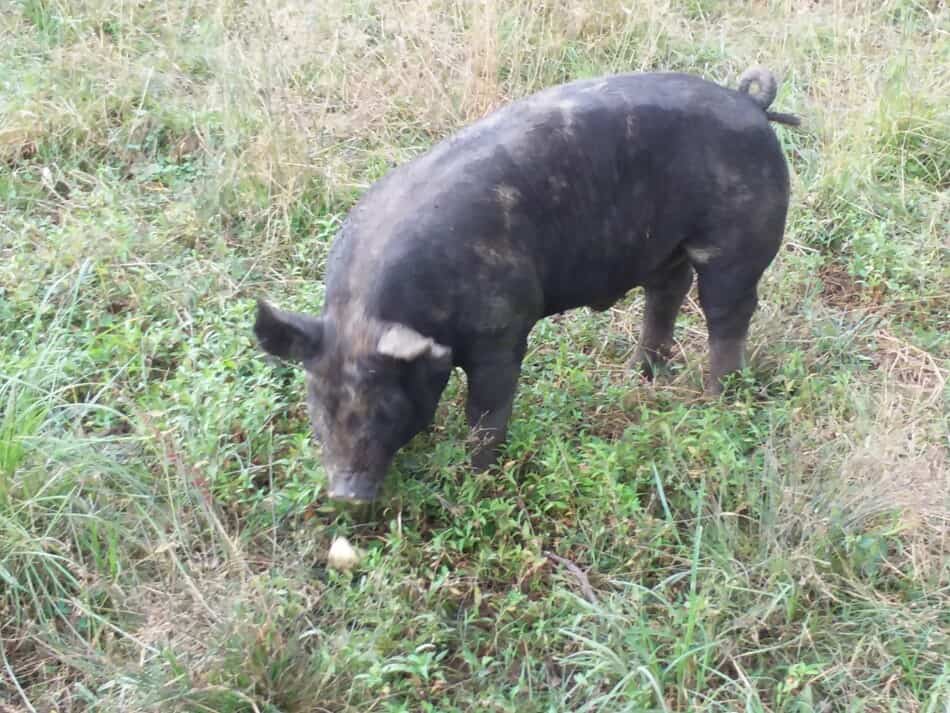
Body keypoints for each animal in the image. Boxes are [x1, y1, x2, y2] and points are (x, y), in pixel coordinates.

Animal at [255, 65, 804, 500]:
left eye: (384, 406)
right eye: (317, 403)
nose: (344, 494)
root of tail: (750, 102)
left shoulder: (503, 329)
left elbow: (487, 410)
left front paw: (477, 480)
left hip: (738, 241)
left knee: (726, 313)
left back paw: (716, 402)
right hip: (665, 248)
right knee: (667, 292)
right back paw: (640, 376)